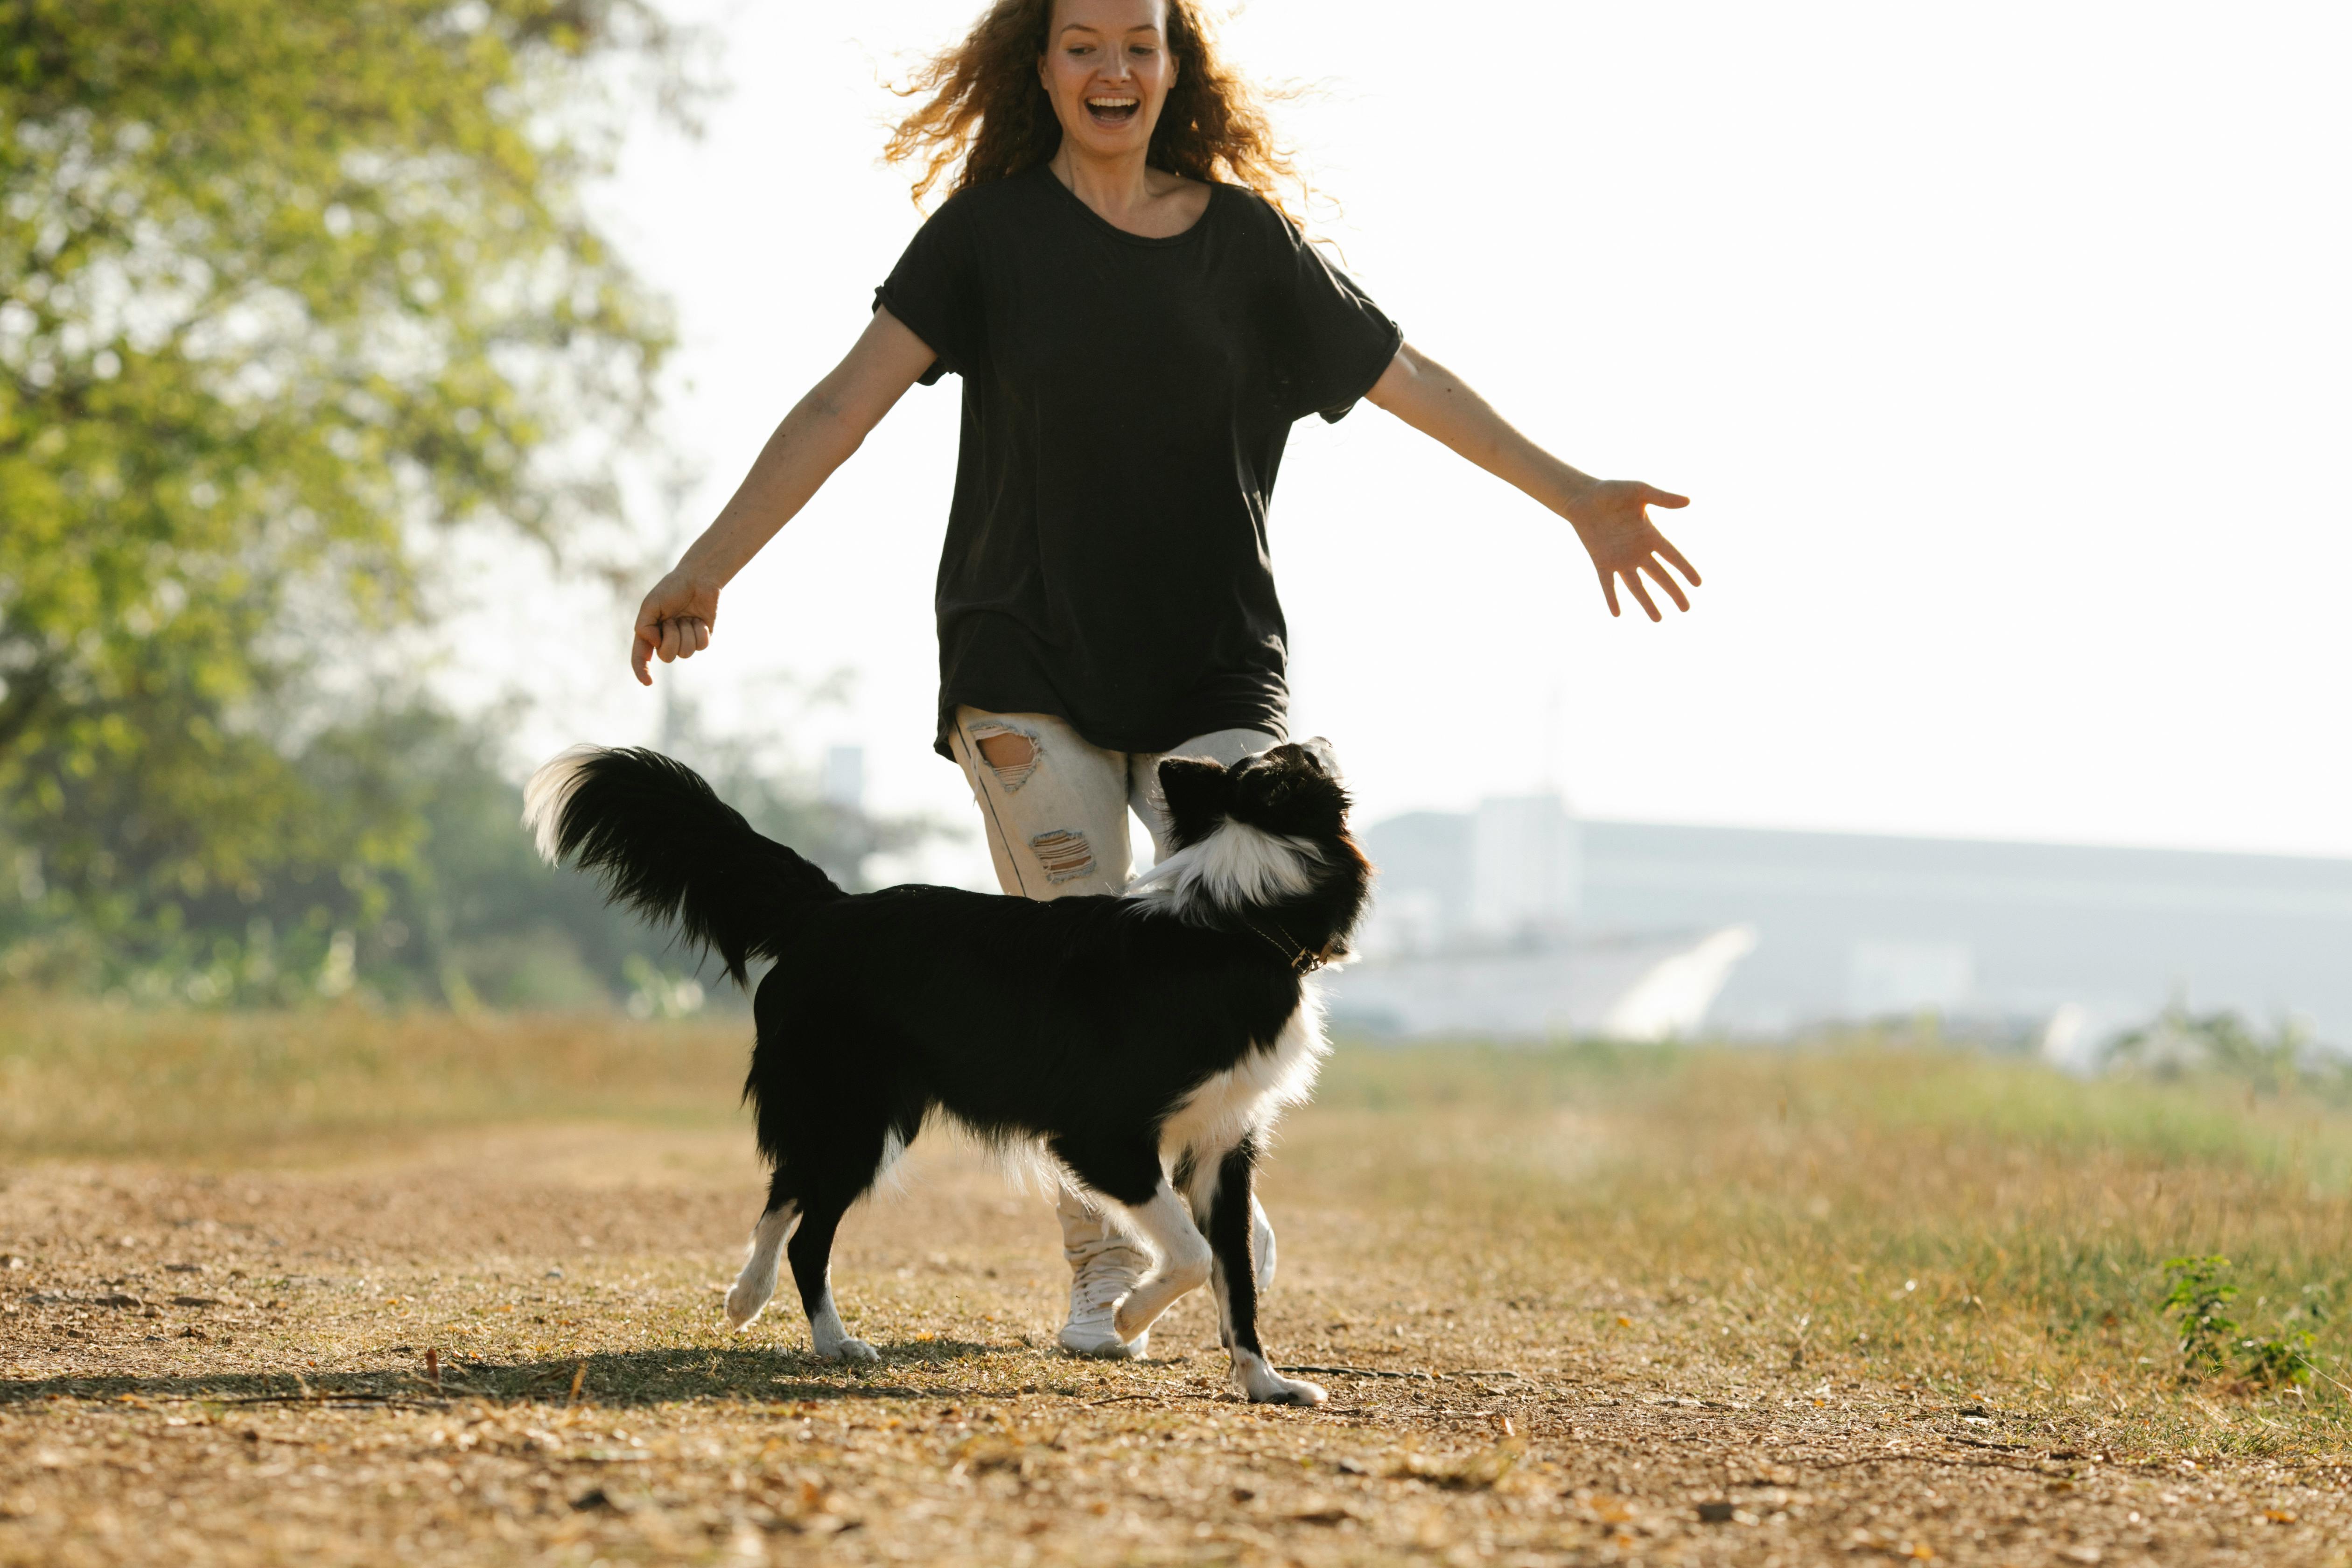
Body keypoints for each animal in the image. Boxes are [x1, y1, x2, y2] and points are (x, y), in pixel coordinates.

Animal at [524, 742, 1373, 1401]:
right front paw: (1130, 1315)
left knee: (786, 1193)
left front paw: (1264, 1384)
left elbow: (1237, 1274)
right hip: (858, 1116)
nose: (1324, 738)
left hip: (861, 1114)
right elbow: (1193, 1255)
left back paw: (759, 1304)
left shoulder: (1224, 1143)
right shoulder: (1103, 1136)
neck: (1240, 919)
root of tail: (829, 908)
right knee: (804, 1229)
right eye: (1301, 758)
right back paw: (816, 1335)